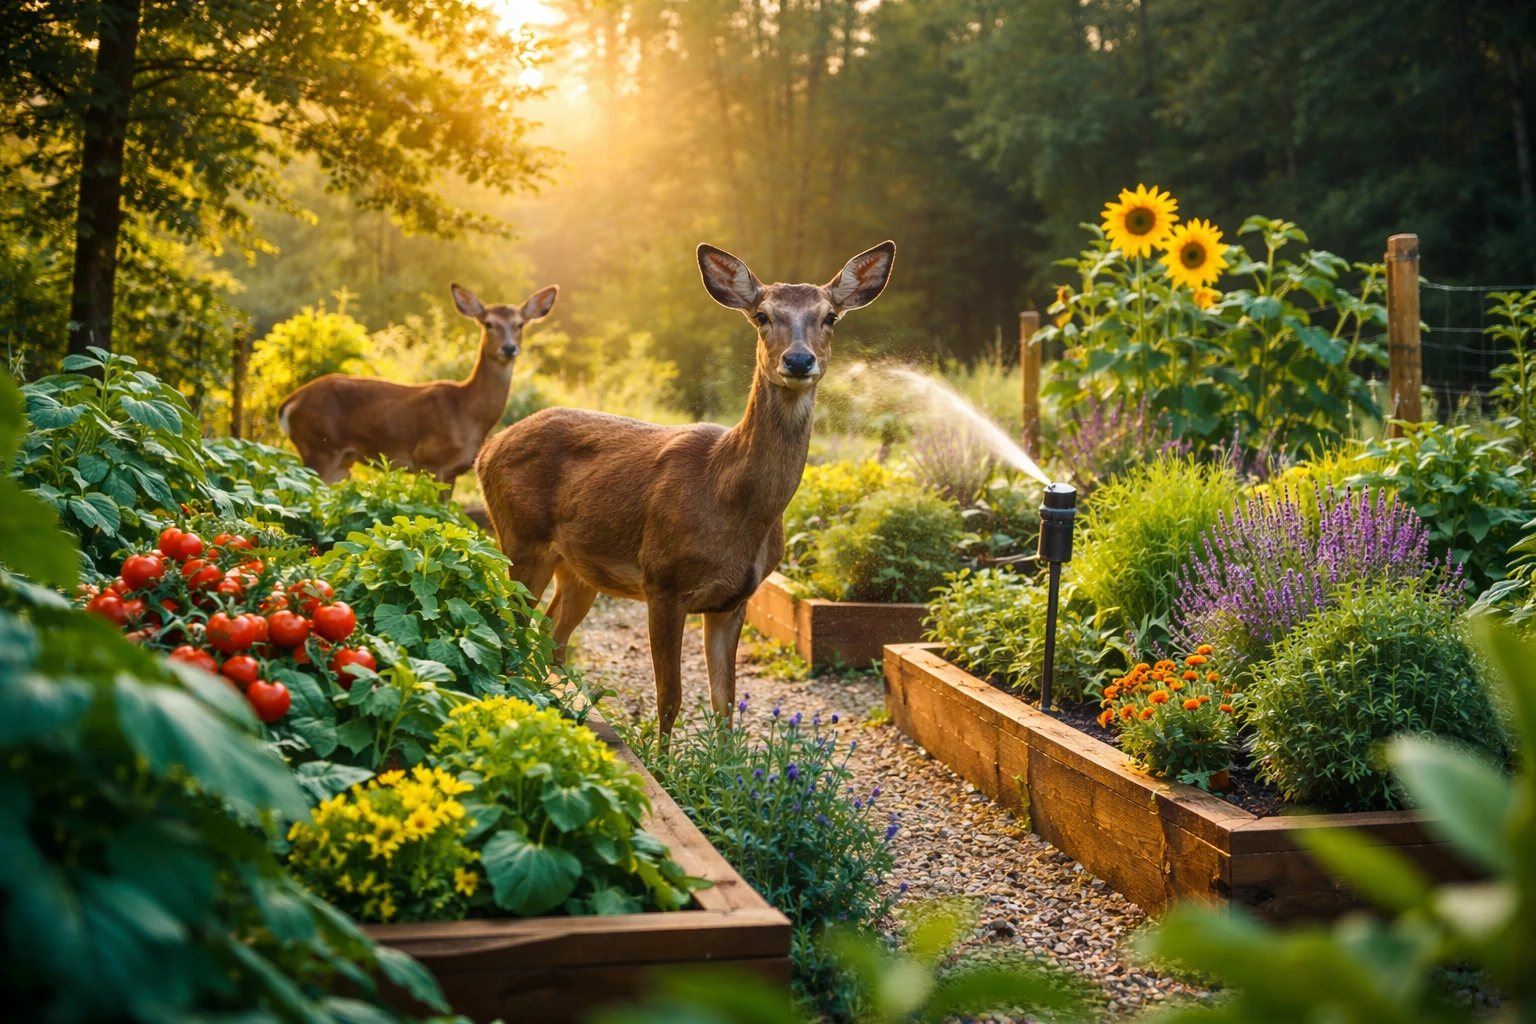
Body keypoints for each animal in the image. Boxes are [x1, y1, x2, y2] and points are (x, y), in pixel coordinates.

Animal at [278, 283, 558, 485]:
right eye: (489, 323)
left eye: (520, 324)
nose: (509, 348)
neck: (468, 413)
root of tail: (287, 405)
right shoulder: (429, 460)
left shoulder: (452, 472)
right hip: (319, 447)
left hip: (341, 461)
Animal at [476, 241, 896, 735]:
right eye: (762, 315)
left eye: (830, 316)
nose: (797, 360)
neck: (730, 497)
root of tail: (487, 449)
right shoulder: (662, 579)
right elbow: (670, 698)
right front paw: (660, 755)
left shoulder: (734, 599)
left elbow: (724, 704)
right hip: (521, 538)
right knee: (509, 629)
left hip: (577, 567)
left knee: (549, 638)